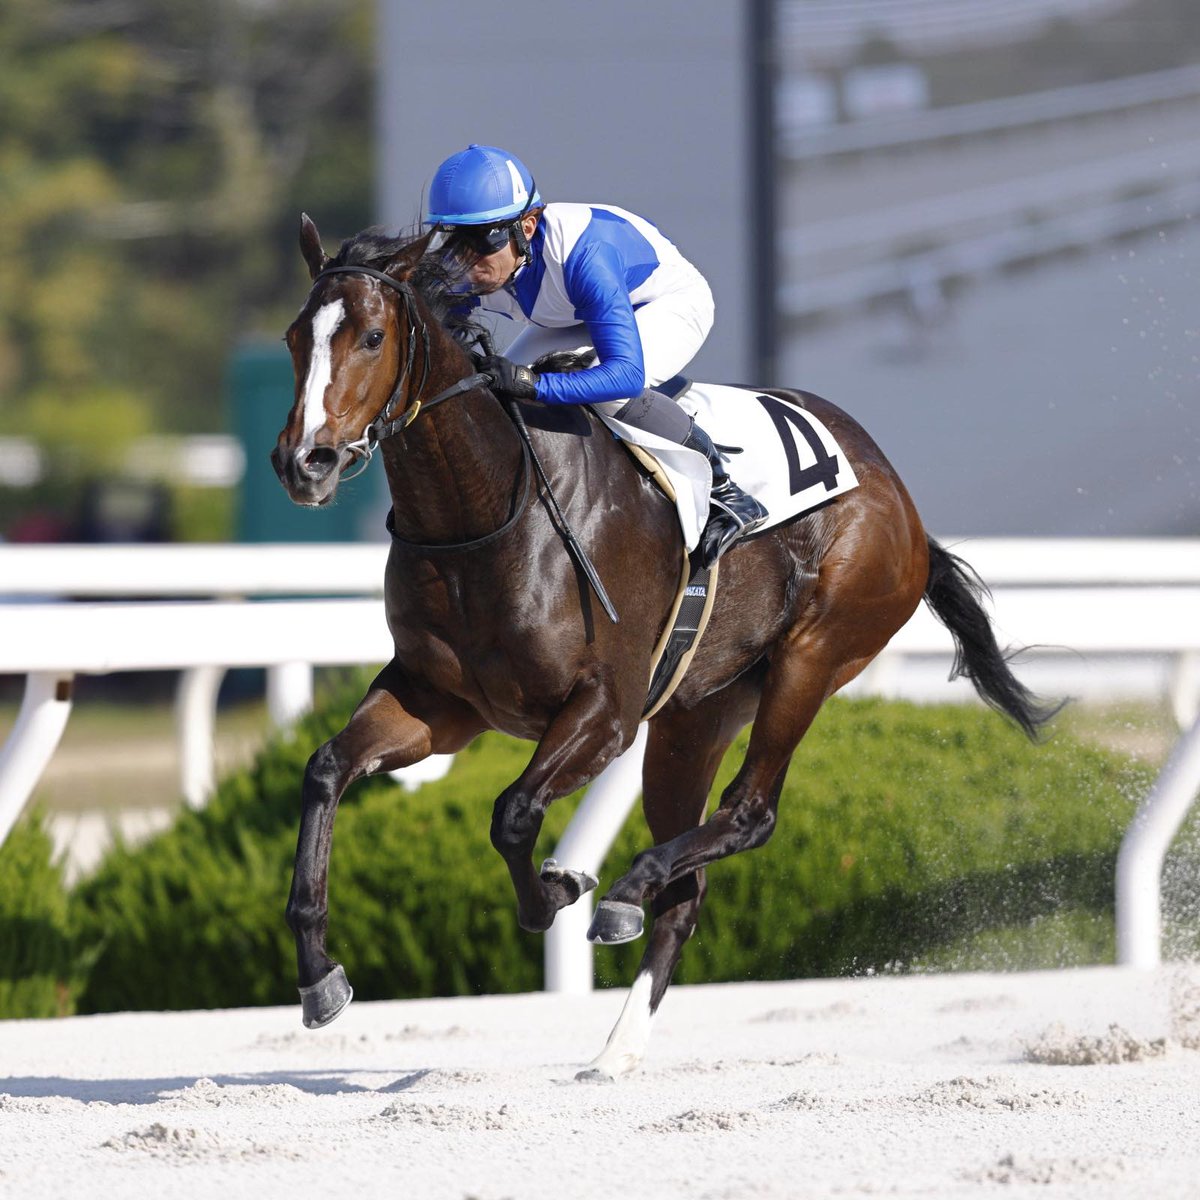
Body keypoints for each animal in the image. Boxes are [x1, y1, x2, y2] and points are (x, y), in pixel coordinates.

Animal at [272, 215, 1056, 1079]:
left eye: (373, 336)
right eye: (293, 339)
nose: (304, 461)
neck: (486, 511)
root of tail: (898, 498)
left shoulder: (605, 711)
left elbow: (513, 813)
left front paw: (557, 889)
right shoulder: (442, 704)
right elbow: (326, 770)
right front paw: (319, 976)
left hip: (813, 656)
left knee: (750, 814)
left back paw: (622, 895)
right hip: (694, 717)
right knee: (688, 895)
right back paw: (616, 1043)